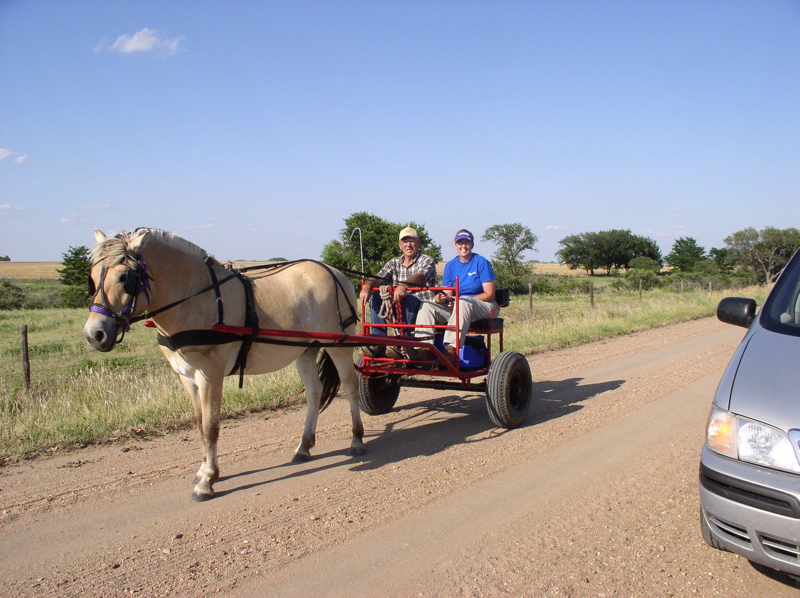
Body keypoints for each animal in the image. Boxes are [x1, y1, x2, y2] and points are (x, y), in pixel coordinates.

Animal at [83, 230, 366, 502]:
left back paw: (356, 439)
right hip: (306, 349)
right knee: (314, 392)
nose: (94, 334)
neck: (195, 298)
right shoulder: (186, 377)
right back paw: (304, 446)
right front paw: (201, 471)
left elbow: (211, 427)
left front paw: (208, 481)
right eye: (92, 278)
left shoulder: (210, 374)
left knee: (351, 387)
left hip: (339, 345)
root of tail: (334, 271)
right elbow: (199, 423)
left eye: (125, 277)